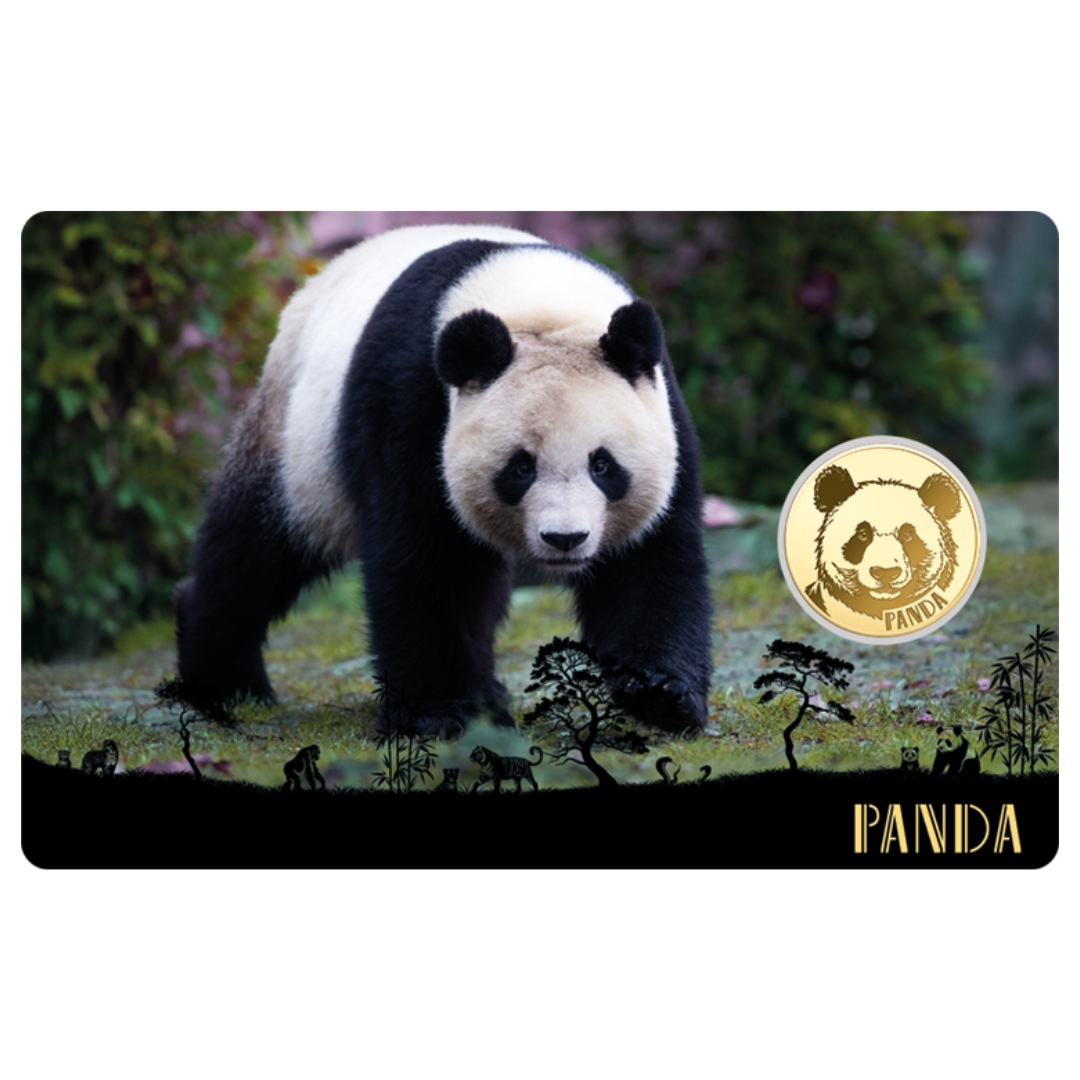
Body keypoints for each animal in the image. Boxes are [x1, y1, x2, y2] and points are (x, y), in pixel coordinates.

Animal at [173, 224, 713, 738]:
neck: (538, 305)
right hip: (296, 439)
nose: (565, 538)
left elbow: (650, 560)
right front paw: (439, 714)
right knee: (259, 549)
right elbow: (422, 559)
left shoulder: (663, 411)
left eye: (602, 465)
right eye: (521, 467)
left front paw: (661, 694)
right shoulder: (410, 400)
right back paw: (224, 681)